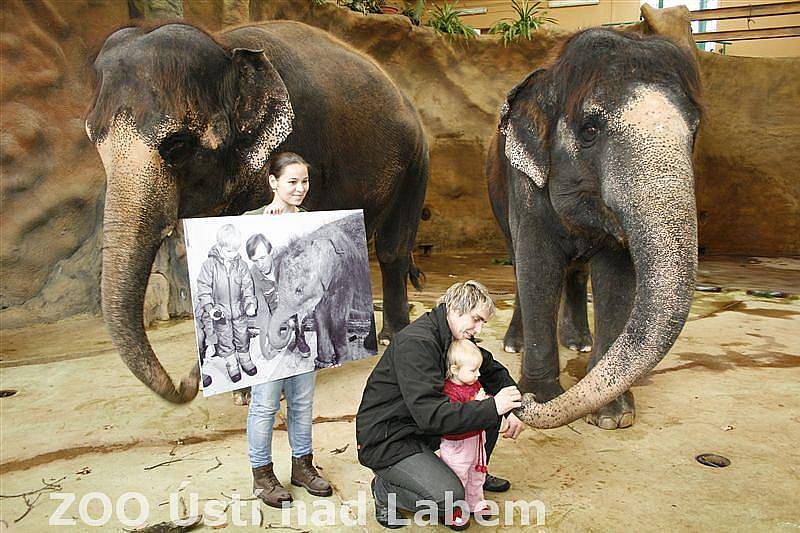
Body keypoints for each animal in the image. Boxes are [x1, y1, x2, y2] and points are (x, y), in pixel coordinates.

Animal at [264, 212, 374, 366]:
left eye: (299, 290)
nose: (291, 321)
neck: (314, 238)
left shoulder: (344, 274)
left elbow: (337, 317)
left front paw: (342, 362)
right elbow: (320, 315)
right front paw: (322, 364)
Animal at [484, 28, 704, 428]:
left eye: (693, 133)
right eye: (589, 130)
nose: (520, 402)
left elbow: (616, 279)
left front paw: (613, 417)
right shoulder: (525, 185)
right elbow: (537, 265)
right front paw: (541, 395)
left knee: (576, 272)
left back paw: (579, 343)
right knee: (518, 261)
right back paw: (514, 344)